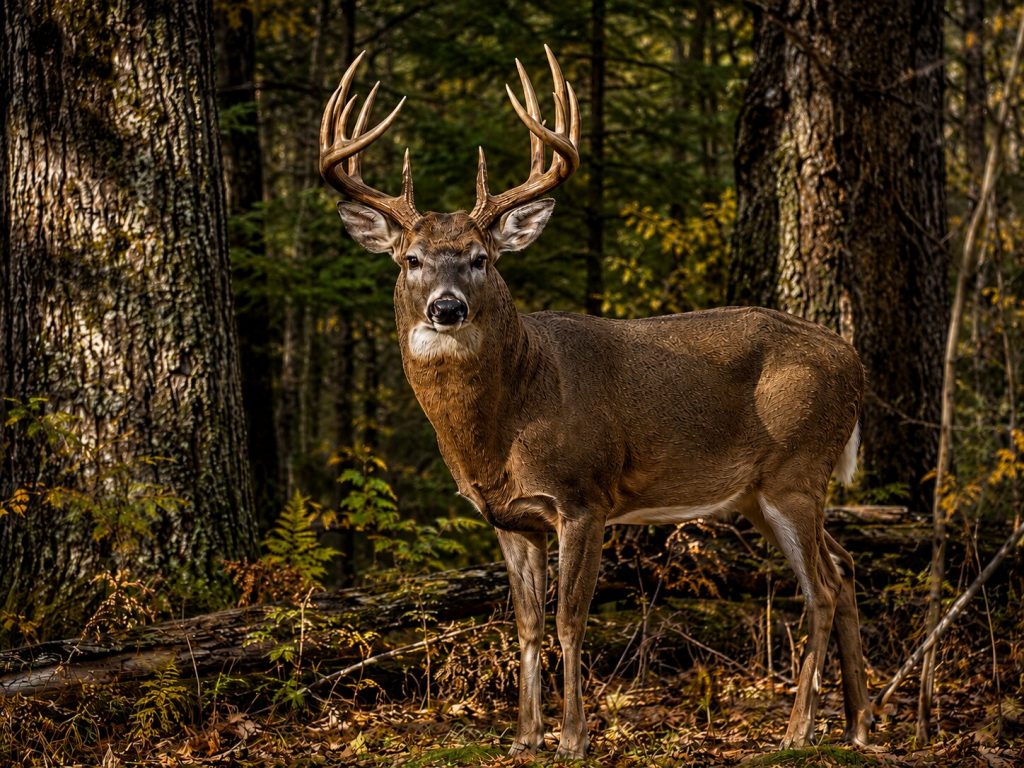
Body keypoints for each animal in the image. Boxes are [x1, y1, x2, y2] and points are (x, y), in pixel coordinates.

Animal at [320, 46, 873, 759]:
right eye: (410, 258)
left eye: (480, 257)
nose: (447, 307)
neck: (502, 425)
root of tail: (854, 362)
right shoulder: (510, 519)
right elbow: (526, 623)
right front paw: (523, 736)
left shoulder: (584, 496)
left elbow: (569, 620)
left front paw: (573, 738)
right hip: (762, 491)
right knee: (848, 566)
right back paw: (858, 725)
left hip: (796, 470)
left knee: (823, 588)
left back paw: (799, 731)